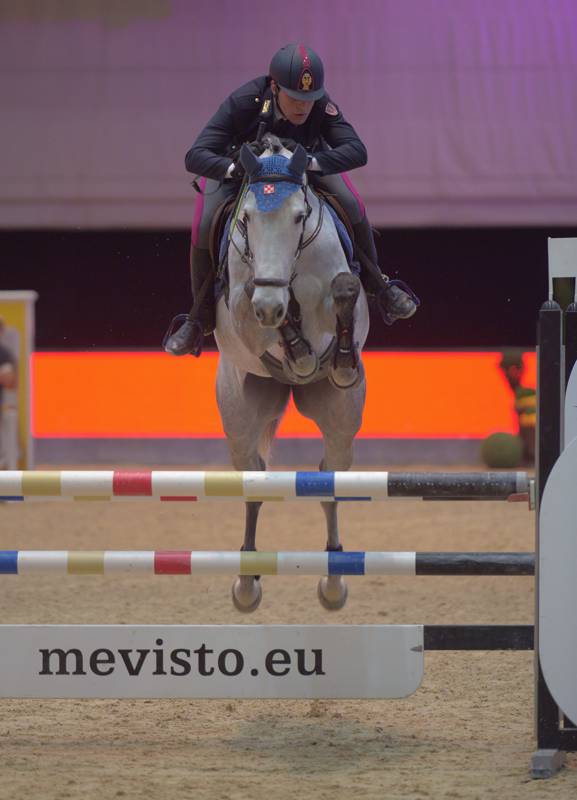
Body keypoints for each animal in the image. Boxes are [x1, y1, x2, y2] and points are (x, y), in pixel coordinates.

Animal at [213, 136, 368, 612]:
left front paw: (334, 359)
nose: (270, 303)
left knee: (328, 479)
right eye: (246, 218)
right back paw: (246, 584)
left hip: (340, 421)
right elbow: (258, 305)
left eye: (300, 216)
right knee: (254, 484)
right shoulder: (244, 311)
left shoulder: (343, 297)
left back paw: (334, 581)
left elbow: (344, 289)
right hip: (241, 422)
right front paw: (297, 350)